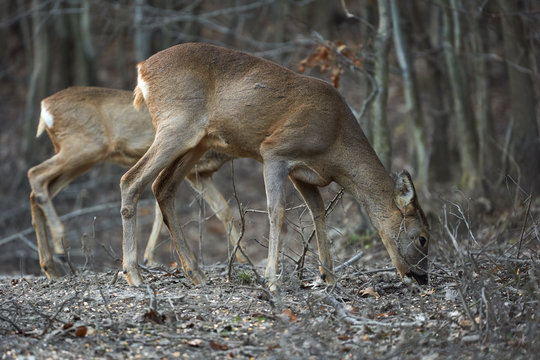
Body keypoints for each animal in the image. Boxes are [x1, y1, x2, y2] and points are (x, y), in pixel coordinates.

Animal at [25, 86, 245, 278]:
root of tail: (45, 107)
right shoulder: (193, 171)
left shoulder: (204, 173)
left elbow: (223, 210)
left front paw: (242, 258)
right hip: (82, 146)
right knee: (35, 173)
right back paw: (60, 244)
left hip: (82, 156)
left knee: (39, 190)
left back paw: (50, 266)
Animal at [122, 43, 430, 290]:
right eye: (423, 239)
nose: (422, 278)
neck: (336, 144)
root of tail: (142, 69)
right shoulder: (275, 151)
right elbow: (277, 211)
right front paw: (272, 279)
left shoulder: (304, 174)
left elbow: (318, 213)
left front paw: (328, 277)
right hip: (176, 126)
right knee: (131, 180)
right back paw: (134, 275)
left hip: (197, 141)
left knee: (162, 187)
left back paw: (195, 274)